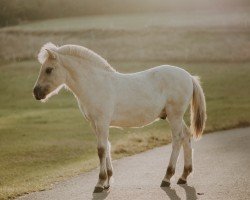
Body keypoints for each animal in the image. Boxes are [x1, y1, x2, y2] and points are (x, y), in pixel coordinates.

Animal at [32, 43, 207, 193]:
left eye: (48, 69)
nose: (36, 93)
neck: (95, 83)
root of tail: (188, 76)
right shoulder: (95, 124)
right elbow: (107, 146)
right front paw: (107, 182)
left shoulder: (102, 122)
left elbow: (101, 149)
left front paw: (100, 183)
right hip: (175, 117)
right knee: (186, 136)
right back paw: (183, 176)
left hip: (174, 115)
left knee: (177, 139)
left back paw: (167, 177)